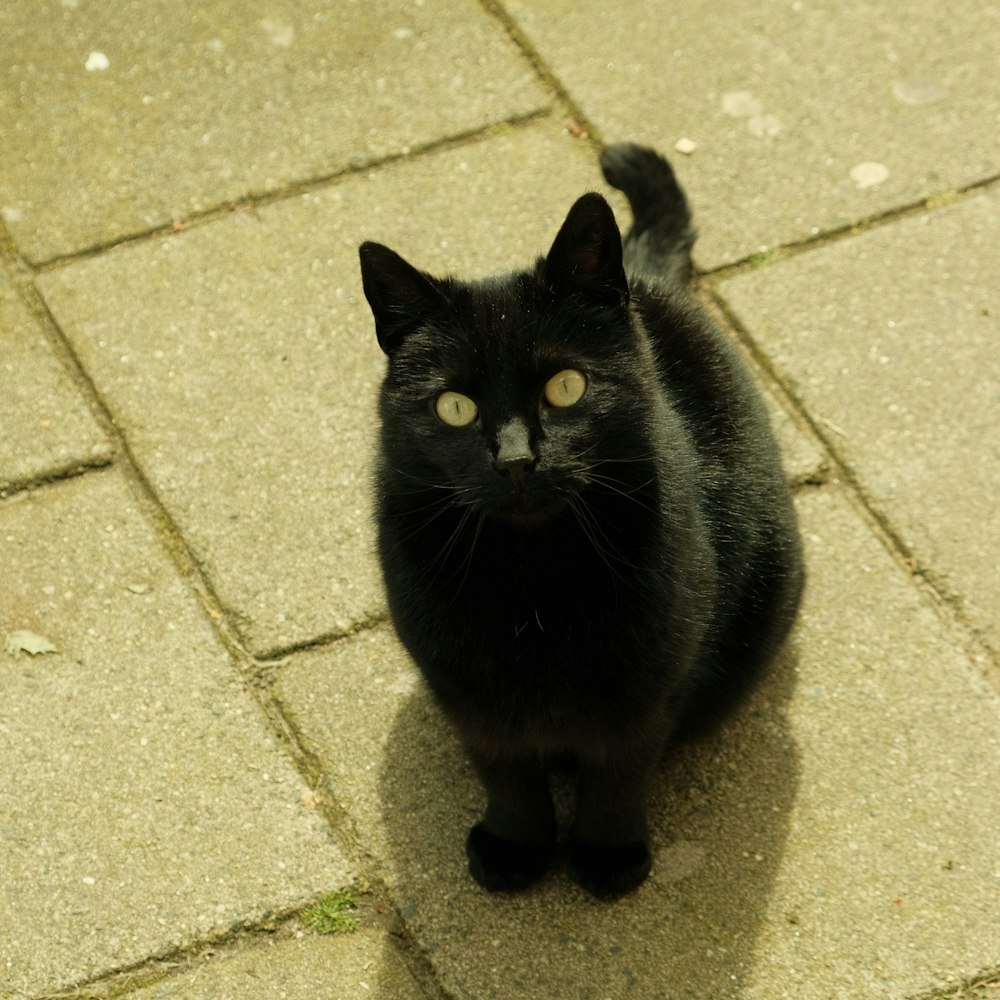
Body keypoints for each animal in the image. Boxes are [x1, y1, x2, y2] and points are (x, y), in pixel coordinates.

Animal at [360, 143, 804, 900]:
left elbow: (618, 772)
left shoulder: (648, 683)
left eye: (566, 387)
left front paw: (606, 855)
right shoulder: (468, 691)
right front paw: (514, 847)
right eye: (454, 407)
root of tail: (645, 279)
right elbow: (506, 772)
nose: (515, 458)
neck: (533, 580)